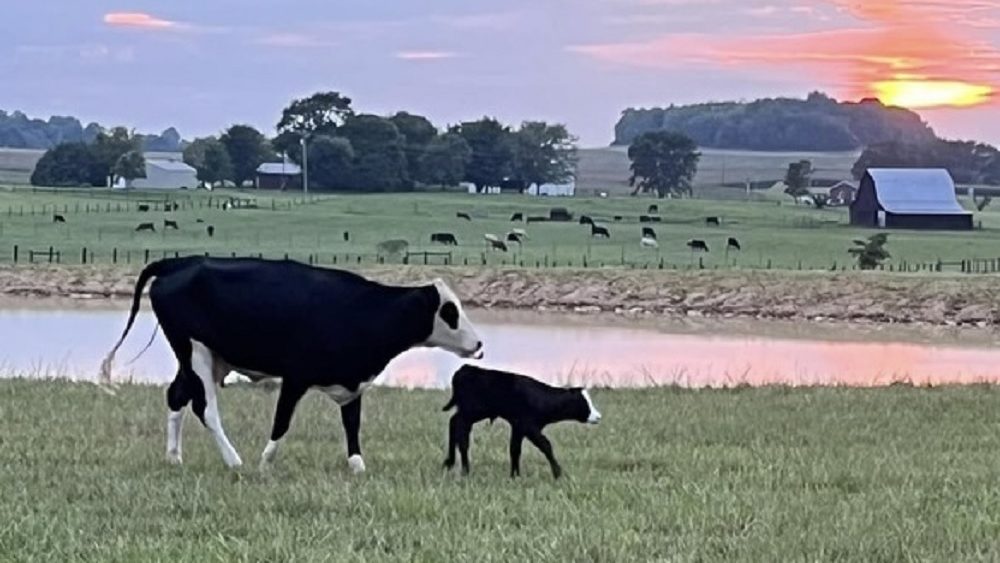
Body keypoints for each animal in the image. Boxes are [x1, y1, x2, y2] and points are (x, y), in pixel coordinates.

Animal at [98, 258, 484, 474]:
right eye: (450, 311)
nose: (479, 345)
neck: (363, 311)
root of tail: (176, 265)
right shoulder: (295, 377)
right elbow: (281, 422)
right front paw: (265, 463)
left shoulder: (352, 385)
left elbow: (352, 425)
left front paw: (357, 465)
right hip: (196, 353)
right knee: (204, 408)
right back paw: (234, 461)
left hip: (202, 358)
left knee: (177, 397)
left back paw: (174, 457)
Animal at [442, 366, 596, 480]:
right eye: (583, 403)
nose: (597, 416)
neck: (543, 399)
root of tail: (465, 369)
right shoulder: (529, 426)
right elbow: (546, 445)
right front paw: (558, 473)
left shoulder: (518, 427)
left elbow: (515, 450)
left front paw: (514, 476)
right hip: (470, 412)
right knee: (461, 435)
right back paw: (464, 469)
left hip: (472, 412)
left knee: (453, 422)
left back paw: (450, 462)